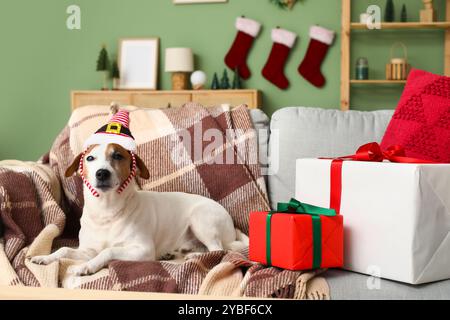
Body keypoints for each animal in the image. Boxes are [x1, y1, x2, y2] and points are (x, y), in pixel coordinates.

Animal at [30, 109, 250, 276]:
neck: (107, 211)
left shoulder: (142, 250)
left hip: (201, 219)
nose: (102, 173)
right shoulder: (86, 249)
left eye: (117, 155)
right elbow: (64, 248)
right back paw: (176, 253)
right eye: (90, 158)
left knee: (218, 249)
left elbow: (108, 251)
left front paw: (87, 267)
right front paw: (45, 257)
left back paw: (195, 256)